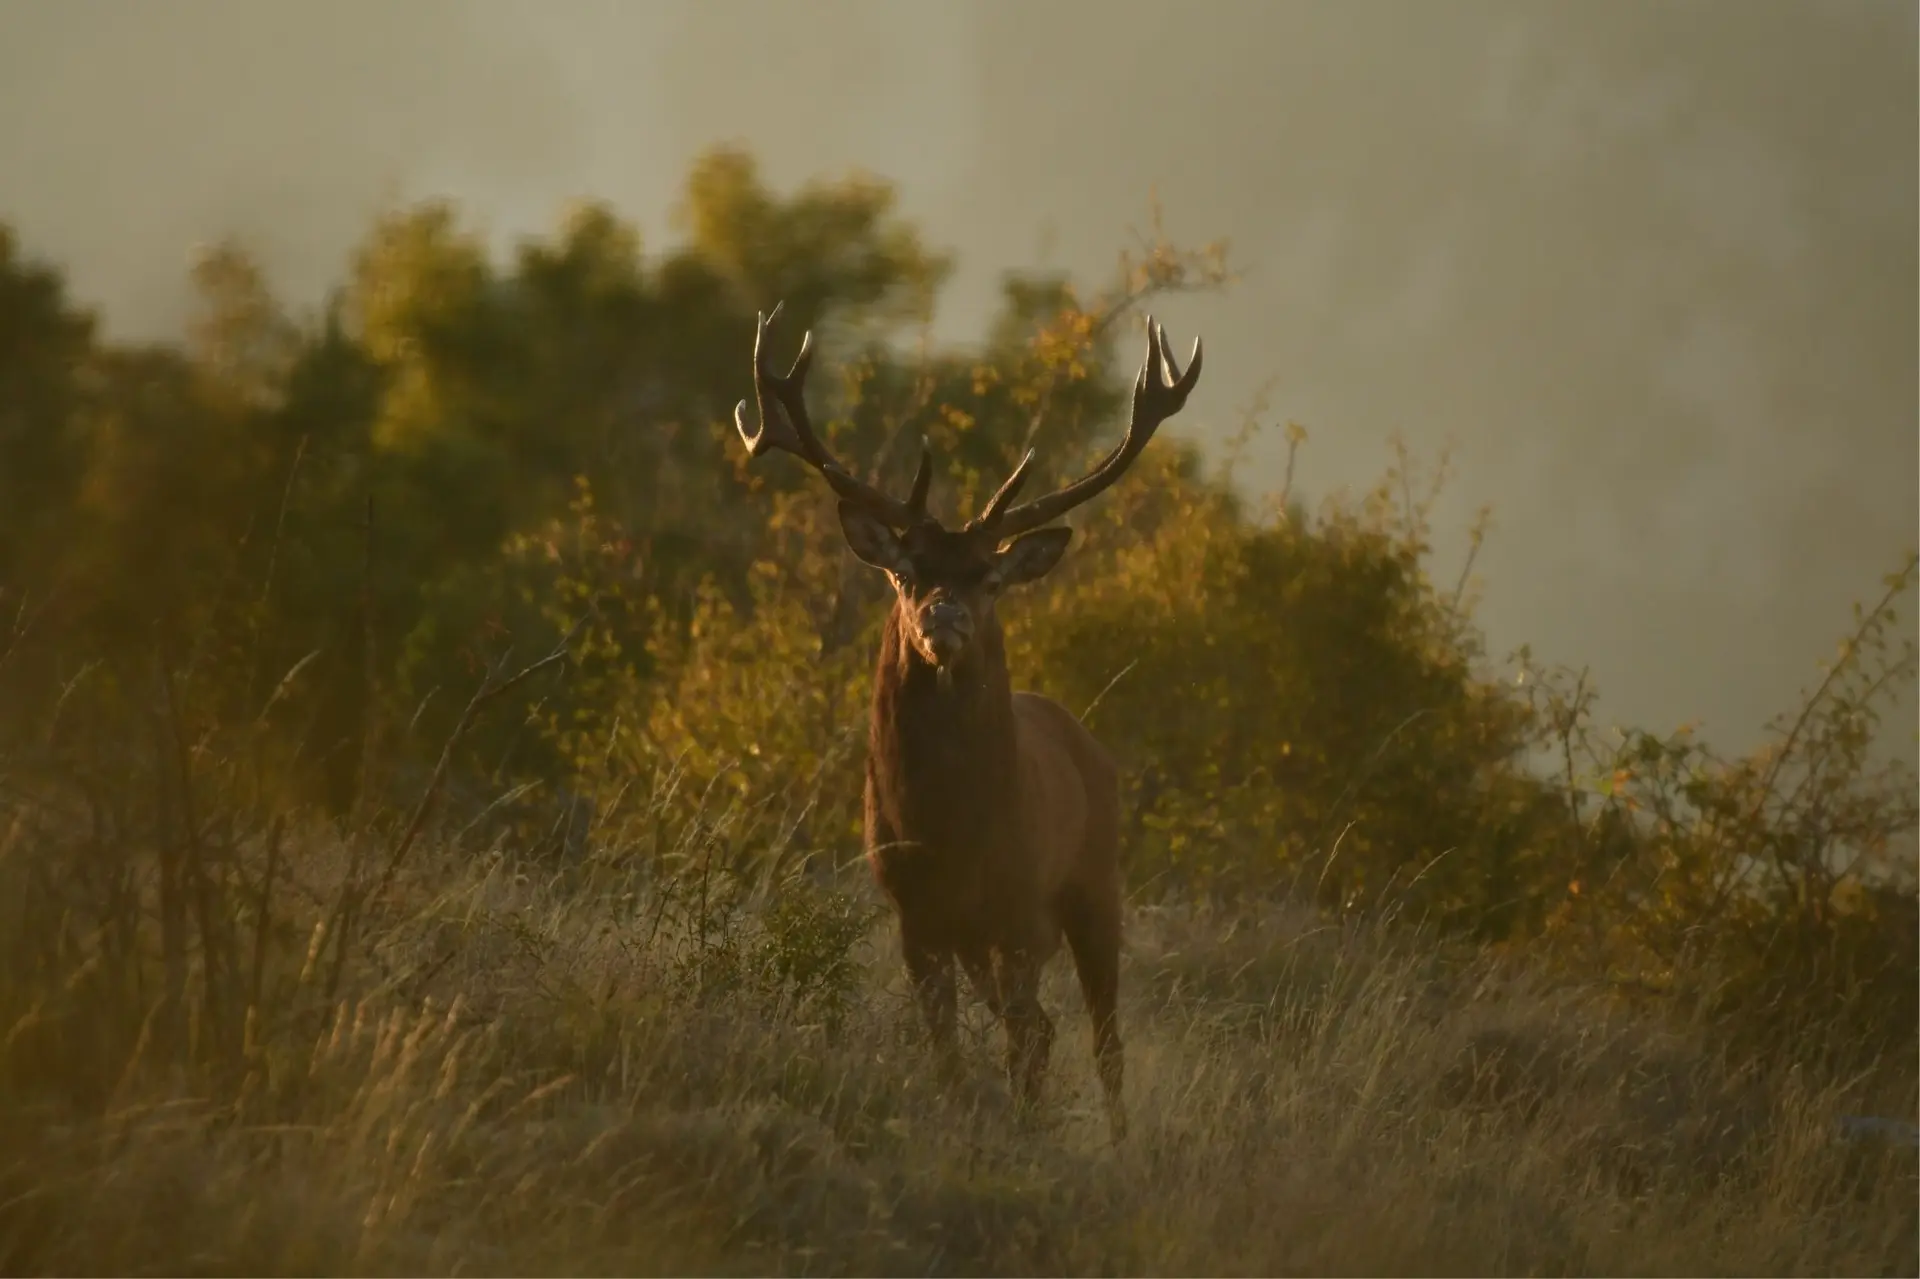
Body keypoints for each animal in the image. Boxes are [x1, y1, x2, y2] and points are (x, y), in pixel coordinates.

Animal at [731, 304, 1202, 1139]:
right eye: (906, 571)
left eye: (988, 576)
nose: (943, 618)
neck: (950, 829)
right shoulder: (914, 915)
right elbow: (947, 1047)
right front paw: (961, 1116)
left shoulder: (1018, 914)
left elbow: (1026, 1045)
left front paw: (1024, 1127)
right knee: (1046, 1027)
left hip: (1094, 883)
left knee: (1096, 1035)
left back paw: (1119, 1138)